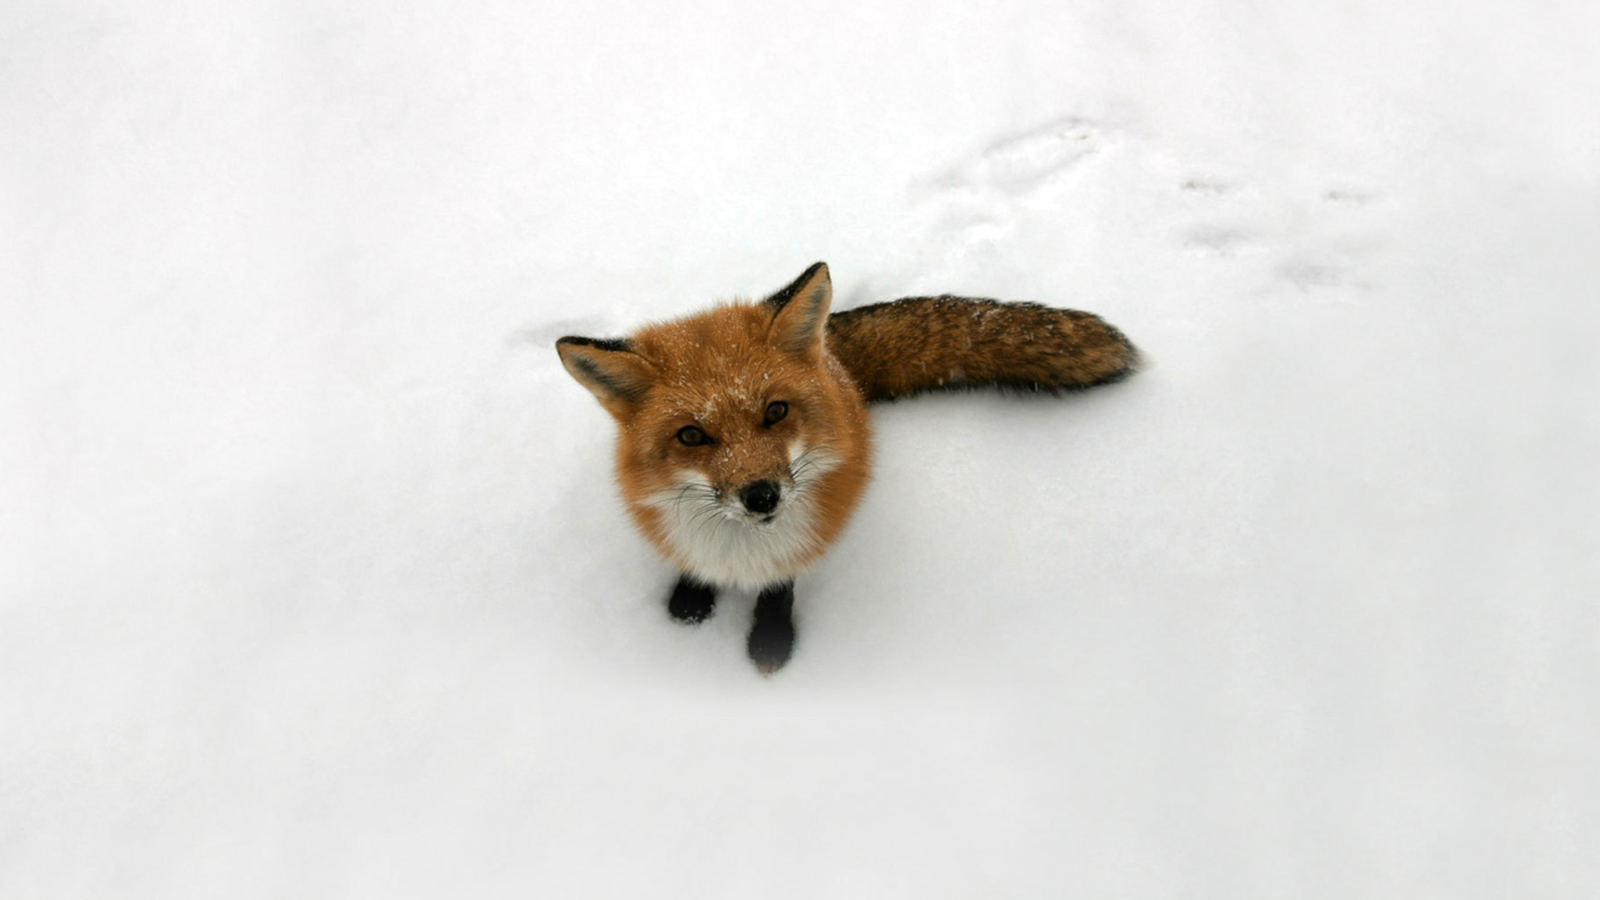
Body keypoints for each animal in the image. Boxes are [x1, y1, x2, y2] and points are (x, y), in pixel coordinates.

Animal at [556, 262, 1132, 669]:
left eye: (776, 411)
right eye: (691, 436)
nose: (761, 496)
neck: (741, 553)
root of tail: (834, 360)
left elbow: (780, 588)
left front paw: (771, 643)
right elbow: (692, 569)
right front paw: (690, 603)